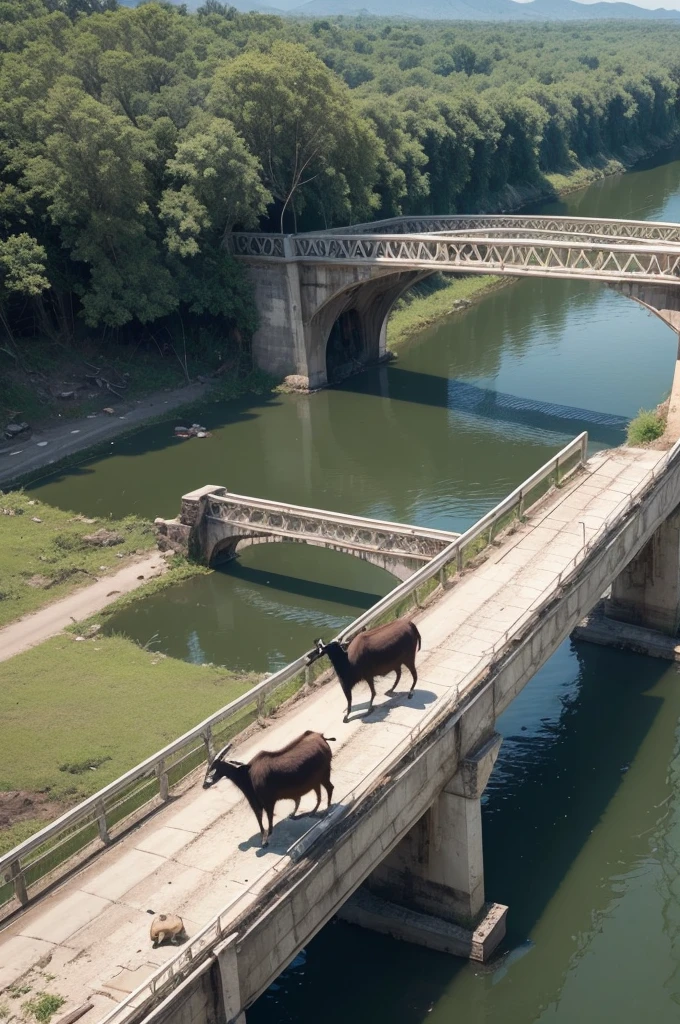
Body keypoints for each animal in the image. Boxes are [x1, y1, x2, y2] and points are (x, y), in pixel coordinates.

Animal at [201, 733, 333, 843]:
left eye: (214, 767)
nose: (205, 784)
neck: (246, 775)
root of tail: (321, 736)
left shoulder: (265, 801)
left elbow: (266, 816)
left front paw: (266, 837)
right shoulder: (257, 802)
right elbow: (261, 816)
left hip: (324, 775)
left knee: (329, 788)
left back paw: (326, 810)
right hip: (317, 780)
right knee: (319, 794)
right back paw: (312, 812)